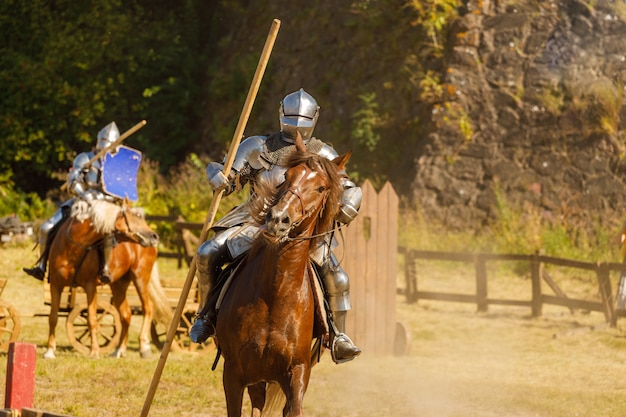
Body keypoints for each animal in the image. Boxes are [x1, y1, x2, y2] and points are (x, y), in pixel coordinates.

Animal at [45, 198, 158, 358]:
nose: (154, 237)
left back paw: (144, 347)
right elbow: (53, 317)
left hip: (140, 278)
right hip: (118, 285)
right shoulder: (55, 285)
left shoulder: (90, 287)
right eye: (135, 217)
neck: (72, 247)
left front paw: (94, 351)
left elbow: (92, 319)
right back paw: (119, 350)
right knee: (126, 314)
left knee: (148, 308)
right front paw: (49, 350)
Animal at [214, 134, 348, 416]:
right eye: (287, 176)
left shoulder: (297, 374)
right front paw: (220, 179)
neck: (276, 293)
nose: (278, 219)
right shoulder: (233, 373)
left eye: (321, 188)